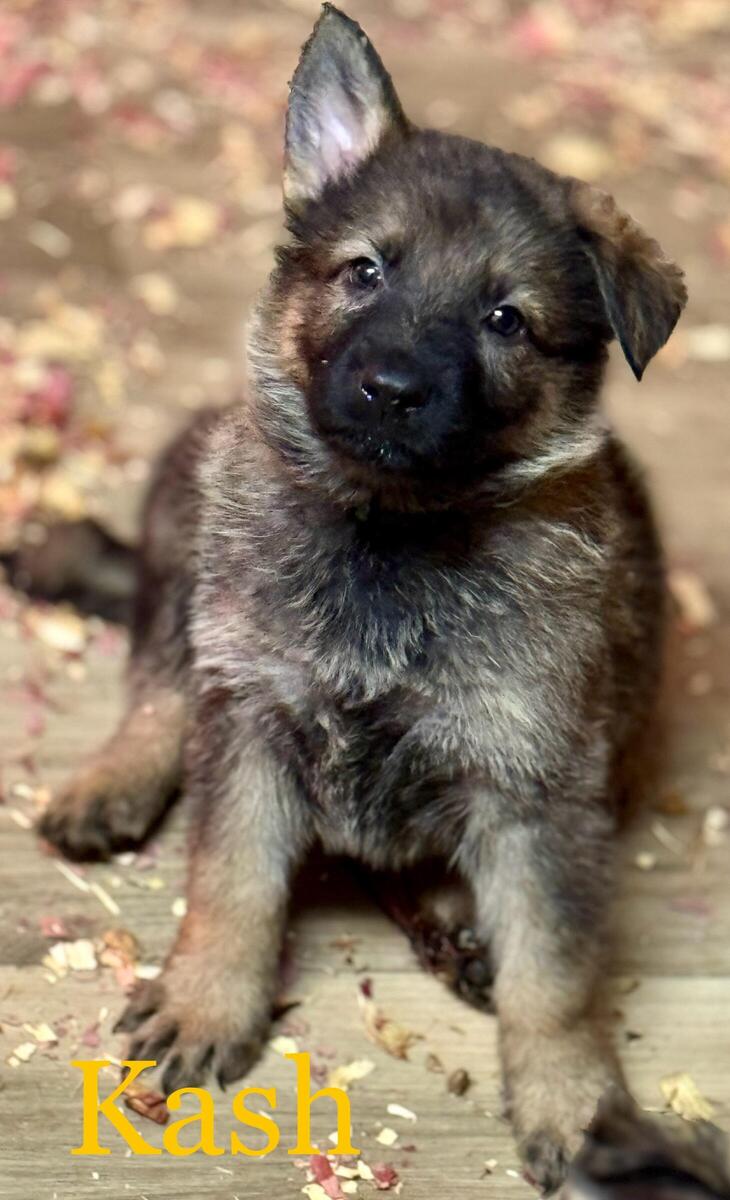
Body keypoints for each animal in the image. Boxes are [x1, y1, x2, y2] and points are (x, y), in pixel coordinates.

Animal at [34, 4, 686, 1190]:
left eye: (505, 320)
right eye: (365, 272)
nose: (391, 389)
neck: (390, 535)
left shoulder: (540, 790)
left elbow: (553, 975)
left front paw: (579, 1108)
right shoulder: (250, 720)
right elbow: (232, 880)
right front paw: (208, 1001)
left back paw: (451, 912)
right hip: (189, 539)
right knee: (159, 678)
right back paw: (112, 780)